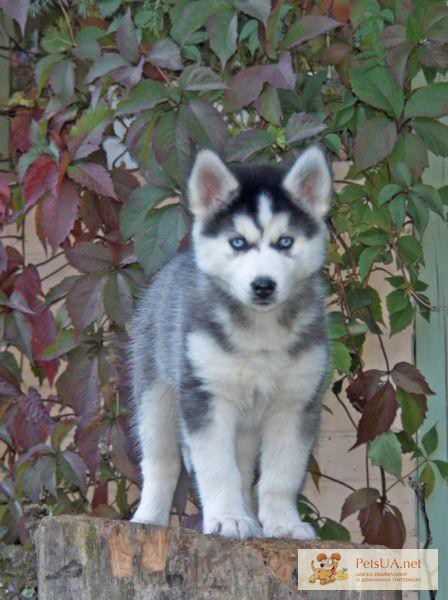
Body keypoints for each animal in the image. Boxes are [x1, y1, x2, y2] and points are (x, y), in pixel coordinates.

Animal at [131, 144, 330, 540]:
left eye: (285, 241)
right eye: (238, 242)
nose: (263, 285)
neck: (261, 332)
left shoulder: (296, 403)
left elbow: (281, 474)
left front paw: (283, 523)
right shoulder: (206, 398)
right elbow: (216, 468)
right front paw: (226, 519)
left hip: (246, 425)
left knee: (243, 464)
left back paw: (252, 519)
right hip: (156, 394)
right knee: (161, 459)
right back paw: (149, 516)